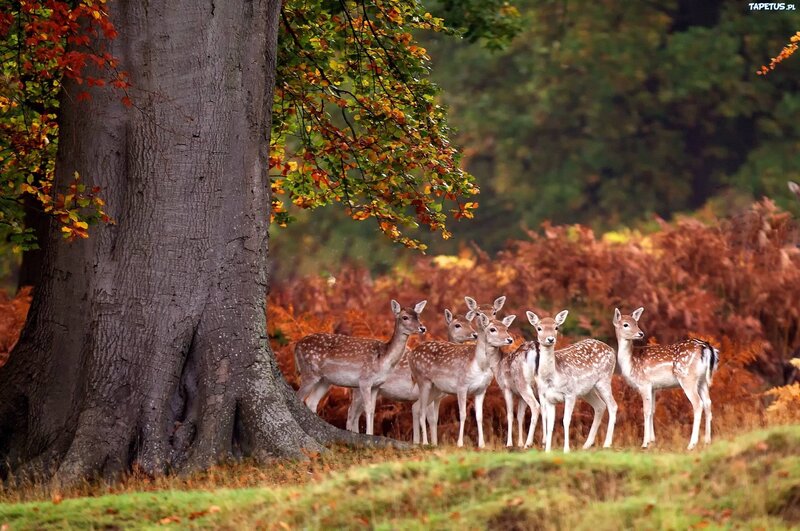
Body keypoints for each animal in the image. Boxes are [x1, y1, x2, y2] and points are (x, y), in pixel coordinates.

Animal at [294, 299, 427, 435]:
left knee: (311, 401)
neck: (383, 360)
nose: (422, 328)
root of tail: (297, 346)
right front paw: (369, 434)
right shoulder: (364, 380)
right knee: (299, 397)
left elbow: (372, 409)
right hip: (309, 372)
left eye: (418, 316)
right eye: (405, 317)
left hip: (325, 380)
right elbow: (368, 408)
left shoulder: (376, 385)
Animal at [345, 308, 478, 443]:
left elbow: (433, 418)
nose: (475, 334)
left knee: (357, 413)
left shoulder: (437, 398)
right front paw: (428, 443)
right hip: (359, 388)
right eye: (457, 325)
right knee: (351, 412)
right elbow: (430, 418)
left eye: (470, 323)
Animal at [410, 312, 516, 448]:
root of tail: (411, 354)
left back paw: (419, 442)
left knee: (416, 406)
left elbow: (479, 416)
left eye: (506, 328)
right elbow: (463, 414)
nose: (509, 339)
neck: (480, 365)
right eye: (492, 329)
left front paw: (482, 444)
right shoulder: (461, 386)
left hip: (435, 388)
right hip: (423, 380)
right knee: (422, 410)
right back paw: (425, 442)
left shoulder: (481, 390)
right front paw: (459, 443)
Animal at [528, 310, 618, 453]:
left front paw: (566, 450)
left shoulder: (570, 393)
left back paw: (607, 444)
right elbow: (550, 423)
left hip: (604, 380)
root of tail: (612, 350)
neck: (552, 378)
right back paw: (587, 444)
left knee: (613, 405)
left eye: (556, 327)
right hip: (587, 390)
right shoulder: (549, 398)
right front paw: (547, 450)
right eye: (539, 328)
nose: (550, 339)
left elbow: (565, 420)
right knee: (600, 406)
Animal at [613, 307, 720, 450]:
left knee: (698, 404)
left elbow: (646, 411)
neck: (630, 362)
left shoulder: (644, 384)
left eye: (636, 322)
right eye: (626, 324)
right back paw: (707, 441)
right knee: (708, 402)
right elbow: (652, 410)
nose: (640, 333)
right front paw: (652, 441)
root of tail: (707, 347)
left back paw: (691, 444)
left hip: (687, 377)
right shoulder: (653, 387)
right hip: (702, 380)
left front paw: (645, 443)